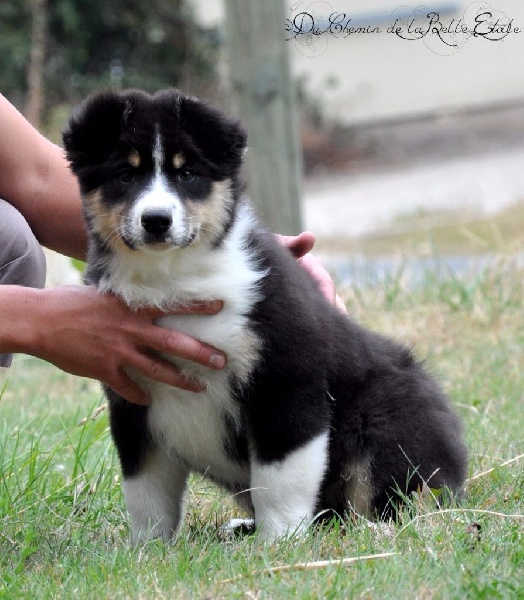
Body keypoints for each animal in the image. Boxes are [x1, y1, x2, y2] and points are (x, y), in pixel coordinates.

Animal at [63, 88, 467, 542]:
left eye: (187, 174)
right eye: (124, 175)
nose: (156, 221)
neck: (173, 278)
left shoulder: (286, 384)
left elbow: (280, 479)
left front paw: (280, 542)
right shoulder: (133, 399)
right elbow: (146, 491)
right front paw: (147, 548)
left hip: (385, 417)